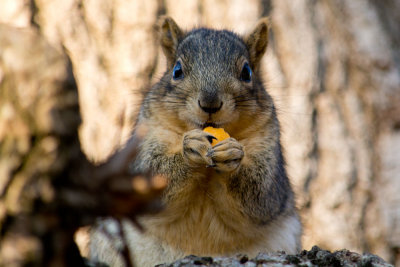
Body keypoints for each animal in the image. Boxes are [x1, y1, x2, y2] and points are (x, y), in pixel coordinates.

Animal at [89, 15, 302, 266]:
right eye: (177, 70)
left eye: (247, 72)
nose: (210, 103)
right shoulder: (147, 138)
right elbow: (150, 174)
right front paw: (189, 150)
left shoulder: (267, 145)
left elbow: (262, 195)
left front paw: (232, 156)